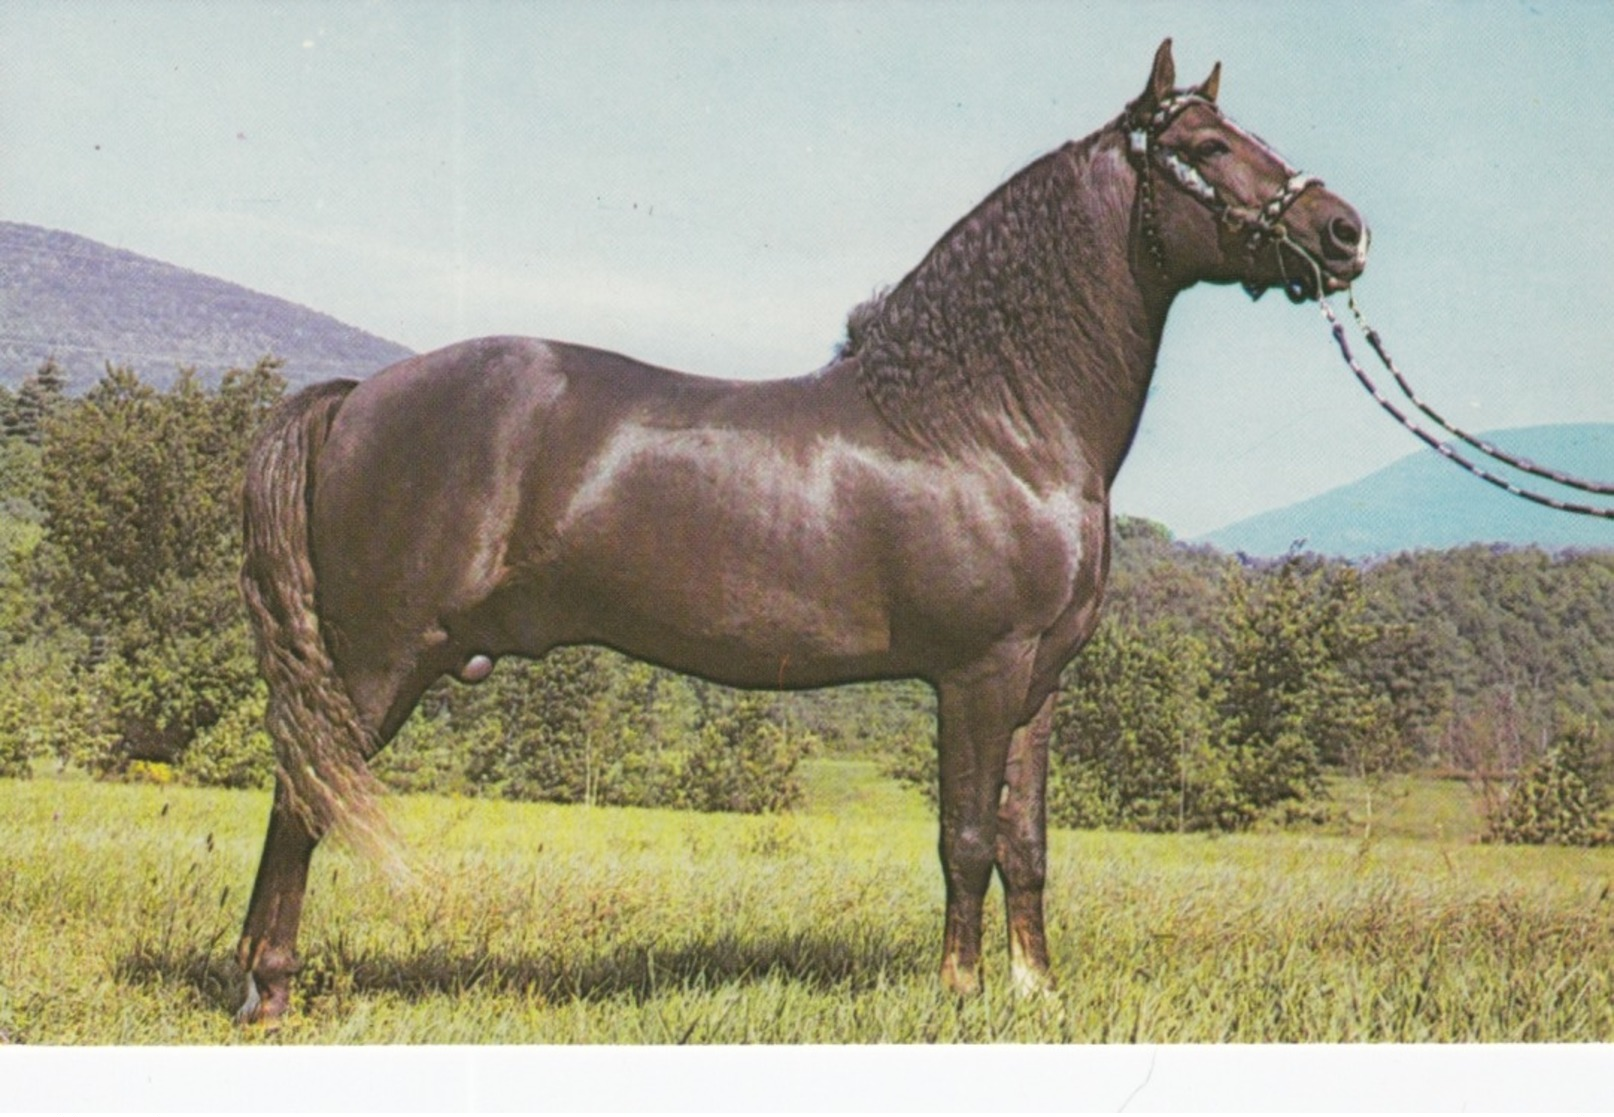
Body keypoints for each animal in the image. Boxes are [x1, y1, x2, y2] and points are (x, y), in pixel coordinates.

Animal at [234, 41, 1368, 1020]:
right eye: (1208, 147)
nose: (1345, 232)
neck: (988, 418)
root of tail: (356, 398)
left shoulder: (1041, 682)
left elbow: (1027, 840)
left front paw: (1034, 990)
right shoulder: (978, 672)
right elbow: (965, 836)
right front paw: (959, 992)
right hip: (377, 660)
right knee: (304, 795)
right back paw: (269, 991)